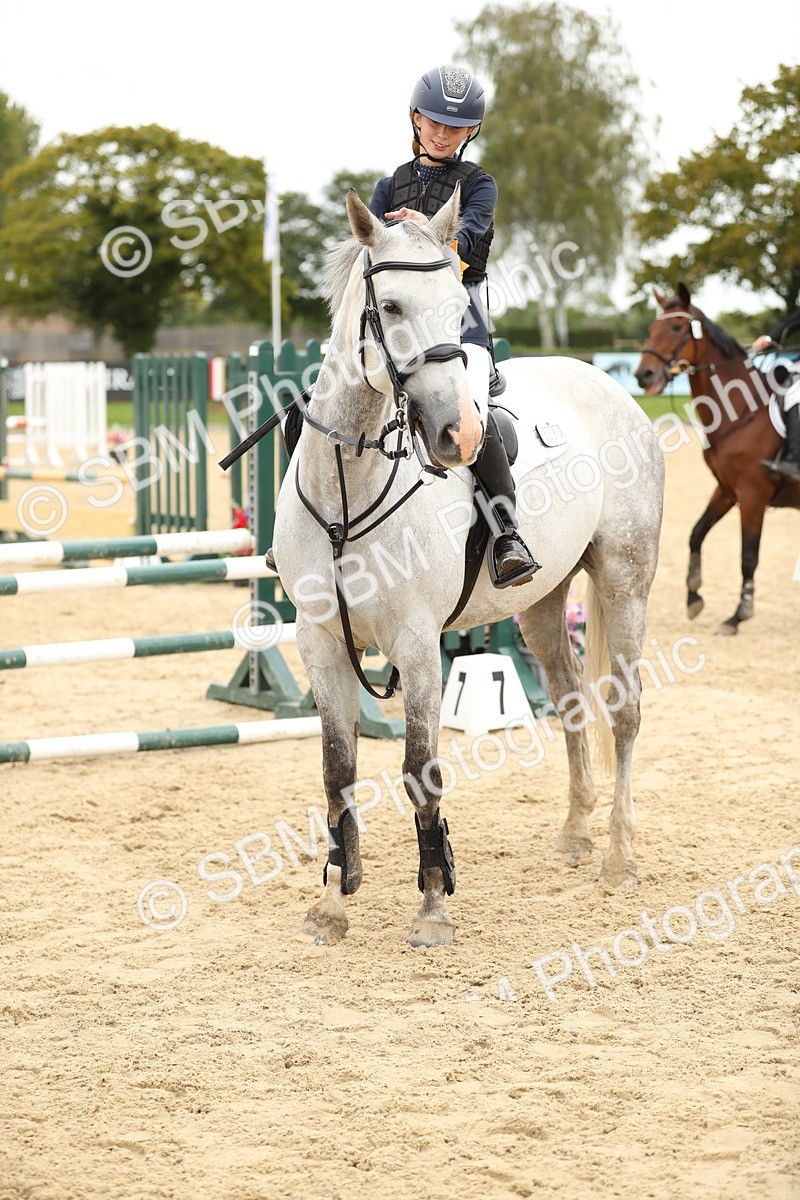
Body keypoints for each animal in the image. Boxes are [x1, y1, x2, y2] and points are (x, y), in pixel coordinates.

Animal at [272, 187, 665, 947]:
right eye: (391, 306)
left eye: (458, 305)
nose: (458, 436)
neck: (350, 487)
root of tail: (607, 384)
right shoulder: (320, 641)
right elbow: (338, 769)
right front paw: (334, 901)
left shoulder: (420, 646)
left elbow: (420, 768)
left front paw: (433, 906)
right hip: (542, 603)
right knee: (571, 701)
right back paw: (576, 834)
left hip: (625, 580)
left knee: (624, 712)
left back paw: (621, 856)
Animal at [634, 284, 800, 634]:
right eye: (652, 328)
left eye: (677, 327)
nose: (644, 375)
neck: (743, 410)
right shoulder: (727, 490)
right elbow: (696, 534)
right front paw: (693, 597)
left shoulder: (752, 496)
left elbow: (748, 557)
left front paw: (738, 616)